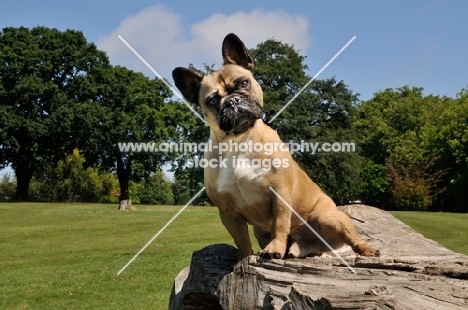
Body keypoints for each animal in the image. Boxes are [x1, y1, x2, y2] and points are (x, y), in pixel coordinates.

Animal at [173, 32, 380, 260]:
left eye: (243, 83)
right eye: (212, 100)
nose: (233, 101)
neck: (239, 141)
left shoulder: (279, 194)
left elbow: (280, 224)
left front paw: (274, 249)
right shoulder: (228, 213)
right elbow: (242, 241)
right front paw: (244, 261)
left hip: (329, 217)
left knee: (353, 237)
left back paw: (367, 250)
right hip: (262, 231)